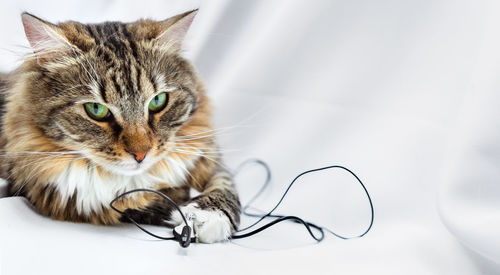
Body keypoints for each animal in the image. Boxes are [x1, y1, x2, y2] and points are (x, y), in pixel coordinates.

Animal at [0, 9, 240, 245]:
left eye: (158, 101)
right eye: (96, 109)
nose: (141, 154)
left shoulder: (209, 155)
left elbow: (225, 184)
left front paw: (208, 216)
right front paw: (178, 206)